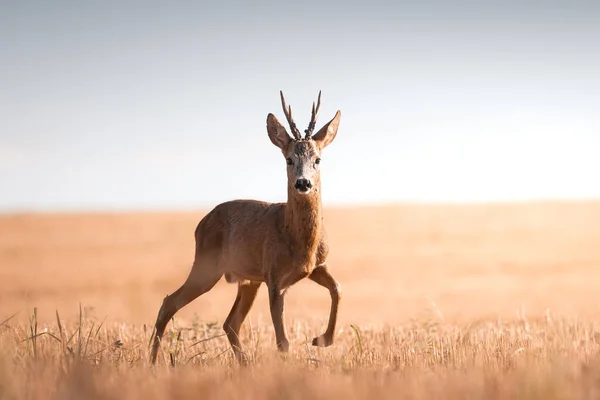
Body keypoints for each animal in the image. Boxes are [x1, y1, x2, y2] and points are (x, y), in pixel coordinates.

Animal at [150, 91, 342, 366]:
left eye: (317, 159)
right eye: (289, 159)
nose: (303, 183)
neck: (300, 243)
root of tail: (201, 223)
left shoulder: (317, 267)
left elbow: (337, 289)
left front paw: (322, 339)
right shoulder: (274, 276)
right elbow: (283, 342)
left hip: (247, 280)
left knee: (230, 323)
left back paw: (245, 364)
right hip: (207, 266)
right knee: (170, 303)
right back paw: (153, 362)